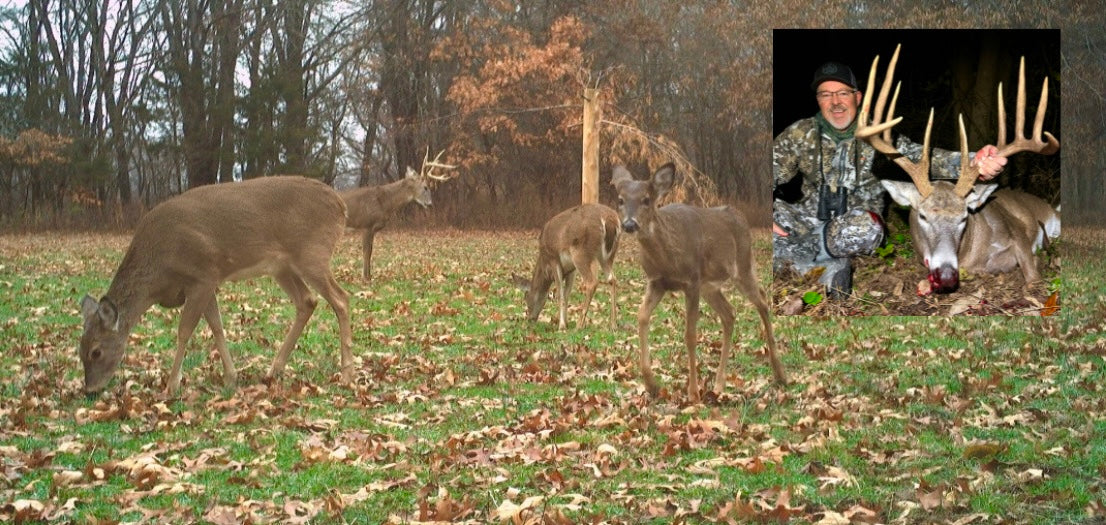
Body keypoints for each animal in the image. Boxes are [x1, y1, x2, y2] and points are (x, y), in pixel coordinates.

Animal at [77, 174, 351, 395]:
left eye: (96, 351)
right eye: (80, 349)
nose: (90, 390)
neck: (159, 273)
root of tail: (341, 205)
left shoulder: (203, 275)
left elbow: (184, 330)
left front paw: (171, 386)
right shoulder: (206, 282)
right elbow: (217, 327)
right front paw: (231, 378)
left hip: (313, 253)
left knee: (341, 298)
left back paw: (347, 373)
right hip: (282, 267)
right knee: (307, 301)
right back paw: (274, 370)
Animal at [340, 150, 453, 281]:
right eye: (425, 187)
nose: (430, 204)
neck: (384, 201)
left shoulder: (372, 229)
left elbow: (371, 251)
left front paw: (370, 276)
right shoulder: (366, 224)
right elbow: (366, 252)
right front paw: (365, 278)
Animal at [519, 203, 623, 331]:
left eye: (526, 298)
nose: (530, 318)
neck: (544, 264)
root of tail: (609, 220)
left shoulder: (554, 258)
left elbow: (560, 293)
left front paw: (561, 325)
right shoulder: (571, 269)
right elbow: (567, 292)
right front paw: (564, 321)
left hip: (580, 252)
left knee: (592, 282)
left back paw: (579, 324)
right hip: (608, 255)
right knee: (612, 279)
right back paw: (613, 324)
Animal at [610, 164, 783, 402]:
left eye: (646, 199)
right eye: (620, 199)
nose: (629, 224)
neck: (667, 258)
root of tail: (740, 216)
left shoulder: (691, 281)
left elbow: (690, 335)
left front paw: (693, 392)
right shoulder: (657, 282)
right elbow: (642, 316)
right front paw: (651, 384)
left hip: (743, 265)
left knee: (763, 300)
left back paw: (780, 374)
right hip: (709, 286)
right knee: (729, 313)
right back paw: (719, 384)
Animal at [853, 46, 1061, 294]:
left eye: (964, 217)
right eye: (922, 216)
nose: (946, 275)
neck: (971, 255)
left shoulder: (1017, 234)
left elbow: (1032, 274)